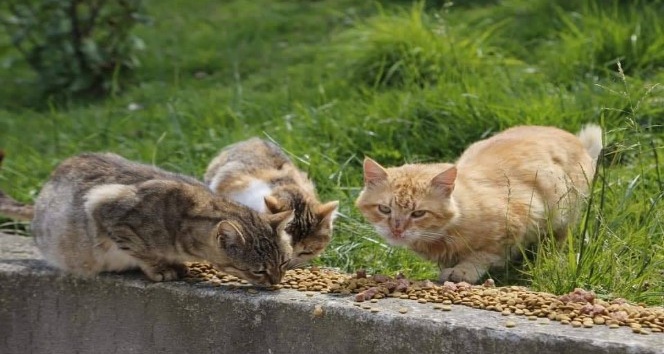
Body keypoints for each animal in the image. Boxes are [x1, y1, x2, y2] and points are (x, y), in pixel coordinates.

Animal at [0, 152, 294, 284]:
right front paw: (161, 268)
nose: (276, 282)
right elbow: (140, 250)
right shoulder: (105, 206)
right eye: (259, 270)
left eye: (284, 262)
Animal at [356, 126, 604, 284]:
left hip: (560, 218)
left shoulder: (516, 225)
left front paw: (462, 271)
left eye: (418, 213)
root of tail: (576, 140)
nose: (396, 228)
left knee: (554, 244)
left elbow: (482, 255)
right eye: (384, 209)